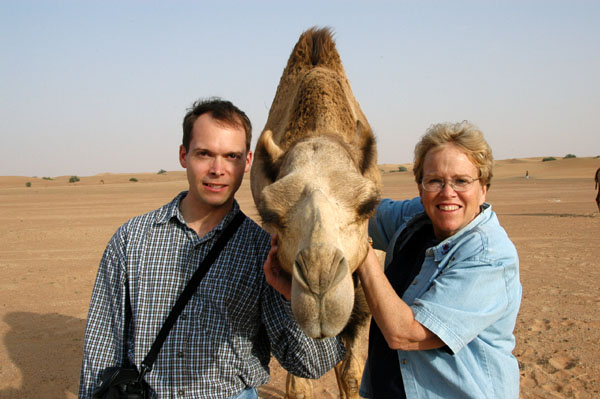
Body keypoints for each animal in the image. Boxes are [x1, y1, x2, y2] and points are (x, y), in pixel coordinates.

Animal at [251, 28, 382, 399]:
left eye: (369, 205)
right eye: (270, 214)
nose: (320, 283)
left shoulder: (360, 306)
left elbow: (351, 375)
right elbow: (299, 383)